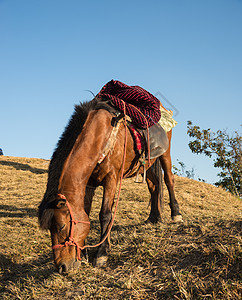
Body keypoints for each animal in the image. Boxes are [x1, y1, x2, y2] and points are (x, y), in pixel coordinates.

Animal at [38, 97, 182, 274]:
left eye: (61, 226)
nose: (62, 267)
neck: (99, 136)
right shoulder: (89, 184)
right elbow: (86, 213)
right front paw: (84, 253)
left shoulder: (111, 179)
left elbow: (105, 214)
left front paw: (101, 254)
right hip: (147, 164)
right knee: (154, 186)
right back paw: (153, 217)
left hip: (165, 153)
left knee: (169, 180)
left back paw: (176, 214)